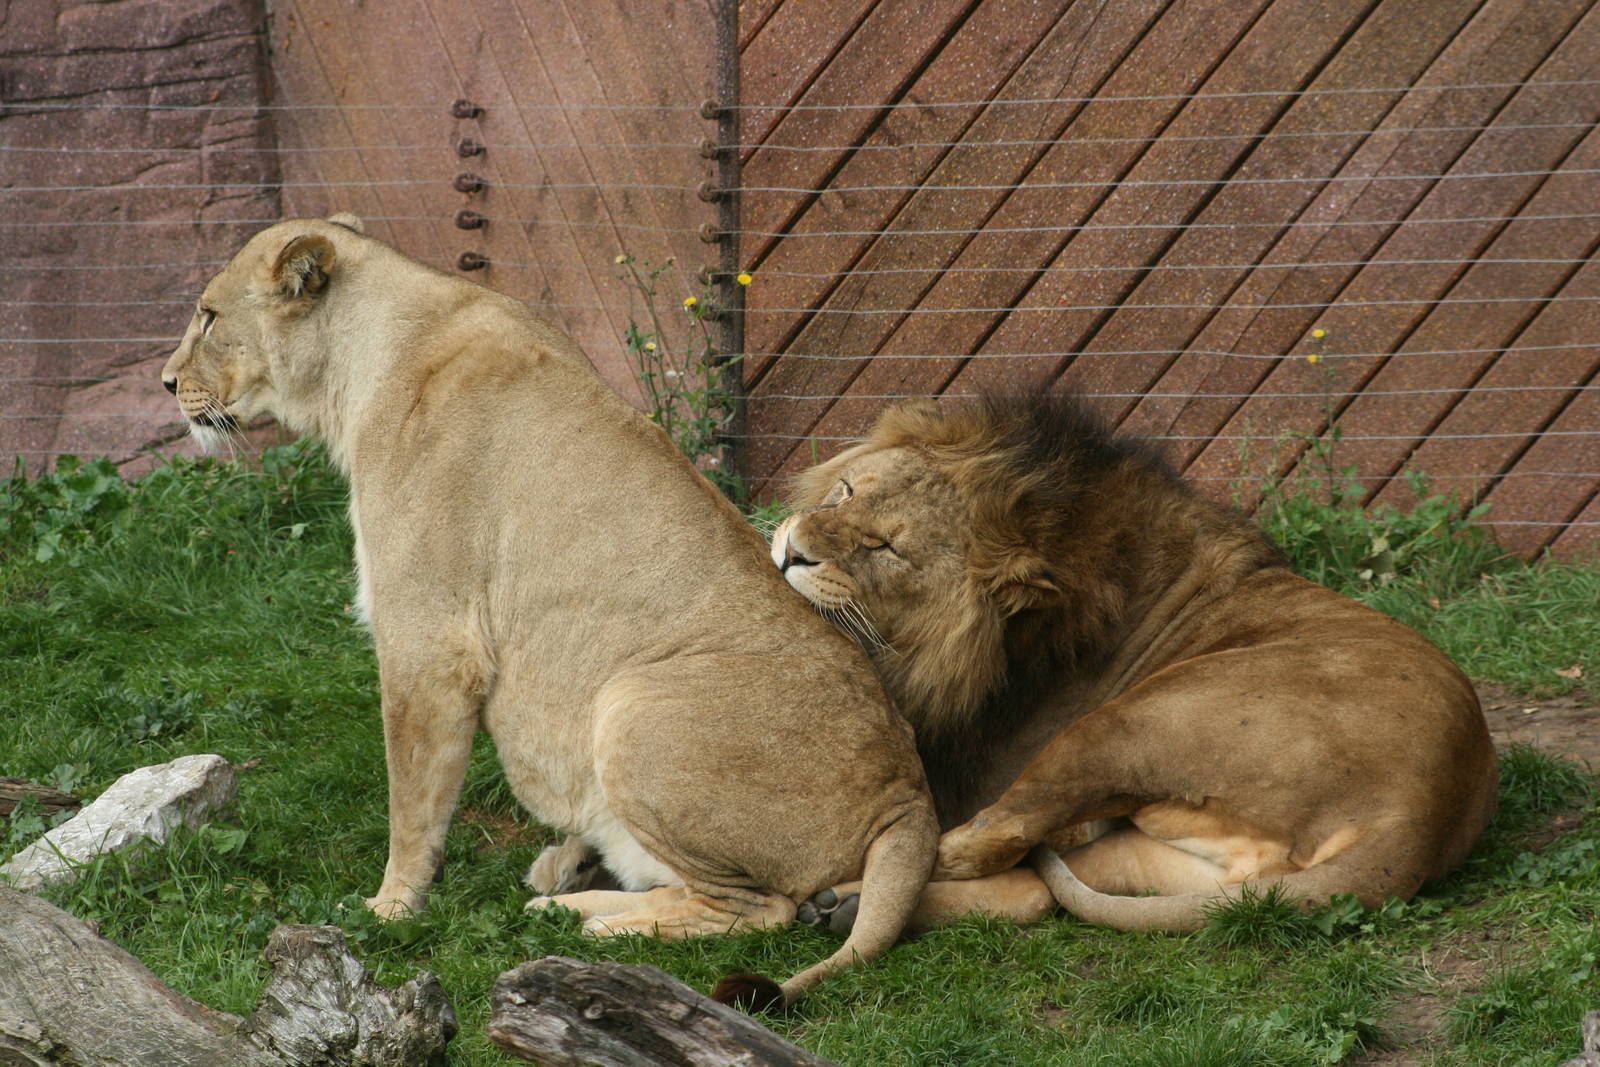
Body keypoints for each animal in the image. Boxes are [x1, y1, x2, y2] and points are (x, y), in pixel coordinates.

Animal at [158, 214, 938, 1006]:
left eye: (209, 316)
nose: (165, 383)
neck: (371, 355)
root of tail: (911, 791)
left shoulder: (429, 639)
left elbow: (412, 796)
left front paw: (389, 908)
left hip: (632, 704)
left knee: (760, 909)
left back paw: (593, 923)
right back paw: (569, 890)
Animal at [765, 394, 1498, 933]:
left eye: (884, 547)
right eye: (844, 490)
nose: (791, 550)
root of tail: (1412, 820)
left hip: (1131, 722)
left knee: (986, 842)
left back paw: (843, 896)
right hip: (1176, 858)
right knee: (1043, 879)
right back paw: (842, 908)